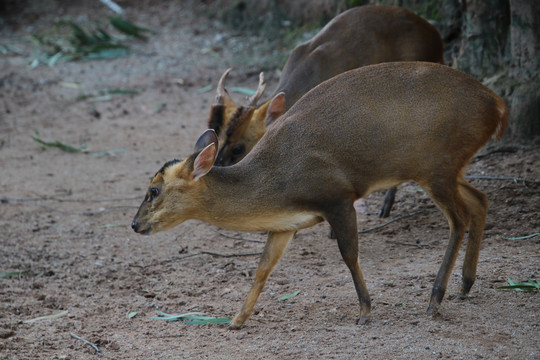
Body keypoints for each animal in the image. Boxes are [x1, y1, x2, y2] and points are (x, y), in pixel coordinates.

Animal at [133, 61, 508, 330]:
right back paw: (466, 284)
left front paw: (365, 310)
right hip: (447, 168)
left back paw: (435, 297)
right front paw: (236, 320)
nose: (135, 224)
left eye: (153, 190)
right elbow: (263, 267)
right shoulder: (285, 224)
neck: (275, 182)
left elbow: (349, 254)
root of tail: (498, 104)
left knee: (459, 219)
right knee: (480, 200)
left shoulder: (337, 197)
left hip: (437, 165)